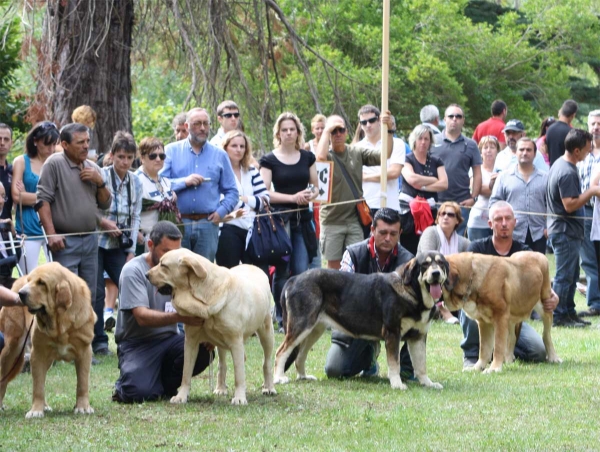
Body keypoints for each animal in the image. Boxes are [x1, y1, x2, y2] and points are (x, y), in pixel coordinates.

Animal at [274, 251, 448, 388]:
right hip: (301, 326)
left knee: (299, 356)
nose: (436, 273)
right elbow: (394, 363)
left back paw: (303, 377)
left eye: (440, 264)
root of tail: (294, 279)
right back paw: (279, 378)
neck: (413, 292)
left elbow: (421, 364)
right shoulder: (393, 333)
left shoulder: (418, 337)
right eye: (425, 265)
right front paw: (397, 384)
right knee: (281, 352)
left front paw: (428, 383)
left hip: (314, 329)